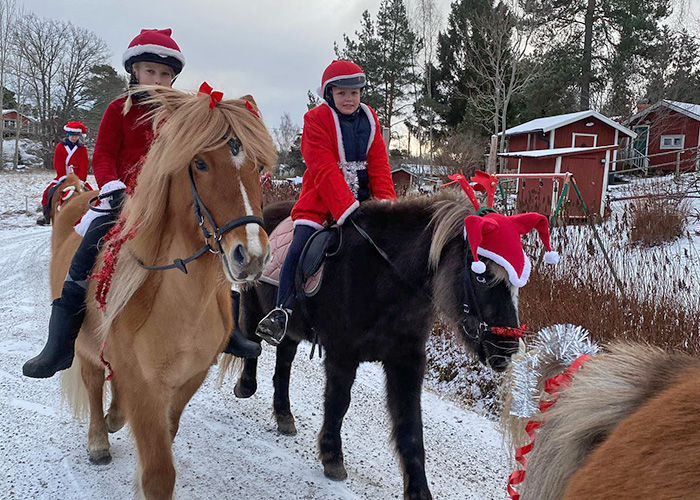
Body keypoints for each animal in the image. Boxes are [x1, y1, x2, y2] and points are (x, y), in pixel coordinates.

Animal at [58, 87, 276, 500]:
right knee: (93, 382)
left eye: (257, 166)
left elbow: (168, 433)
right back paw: (98, 440)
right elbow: (158, 473)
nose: (252, 255)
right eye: (200, 163)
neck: (181, 305)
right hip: (84, 342)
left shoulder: (189, 378)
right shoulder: (146, 388)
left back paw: (114, 417)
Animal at [238, 194, 524, 500]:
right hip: (254, 304)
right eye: (482, 276)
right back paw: (246, 386)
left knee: (284, 363)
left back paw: (283, 415)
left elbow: (410, 426)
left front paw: (418, 489)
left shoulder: (406, 361)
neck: (385, 277)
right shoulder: (342, 353)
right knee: (253, 342)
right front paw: (332, 457)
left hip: (292, 331)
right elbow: (338, 403)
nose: (507, 348)